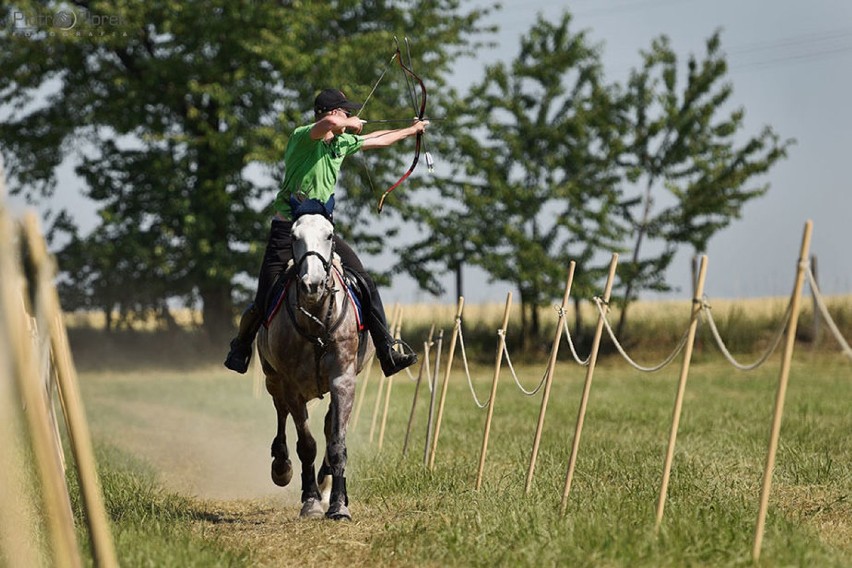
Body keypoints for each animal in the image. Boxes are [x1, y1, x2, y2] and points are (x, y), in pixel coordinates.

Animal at [255, 212, 372, 520]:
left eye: (329, 235)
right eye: (294, 236)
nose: (312, 284)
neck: (316, 319)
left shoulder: (343, 381)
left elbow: (337, 443)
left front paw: (338, 503)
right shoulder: (292, 385)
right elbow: (306, 445)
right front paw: (310, 501)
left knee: (328, 426)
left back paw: (326, 482)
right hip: (273, 380)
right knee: (281, 413)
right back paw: (281, 466)